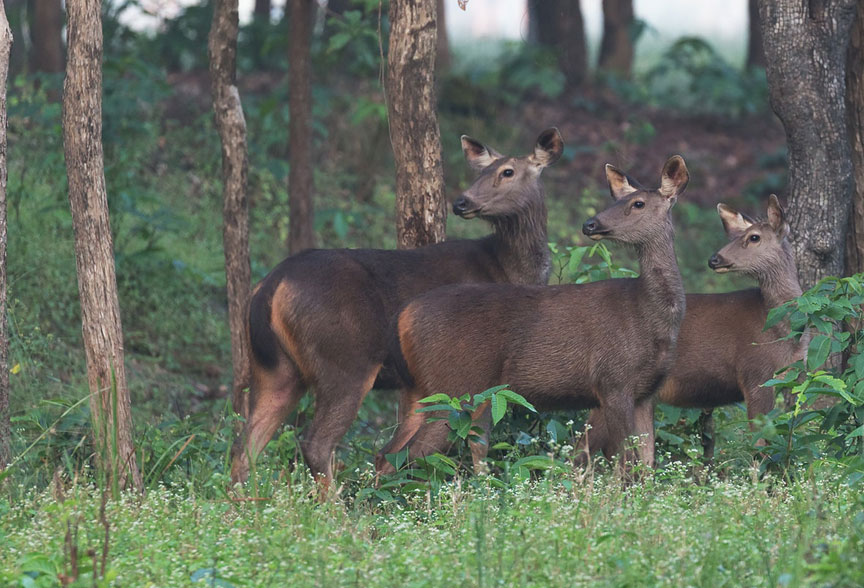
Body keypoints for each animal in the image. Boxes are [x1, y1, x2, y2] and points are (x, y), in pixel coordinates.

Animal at [231, 129, 568, 486]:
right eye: (481, 171)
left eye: (507, 171)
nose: (461, 202)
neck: (508, 269)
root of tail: (271, 285)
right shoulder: (480, 366)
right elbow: (477, 440)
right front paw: (483, 489)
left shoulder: (418, 384)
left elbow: (396, 451)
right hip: (345, 360)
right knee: (315, 443)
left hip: (274, 369)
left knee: (245, 445)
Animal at [374, 154, 692, 476]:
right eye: (620, 199)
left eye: (638, 203)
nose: (590, 223)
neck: (649, 316)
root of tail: (403, 316)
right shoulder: (613, 381)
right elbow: (627, 464)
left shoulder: (645, 393)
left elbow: (646, 464)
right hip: (454, 385)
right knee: (409, 455)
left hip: (422, 389)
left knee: (386, 454)